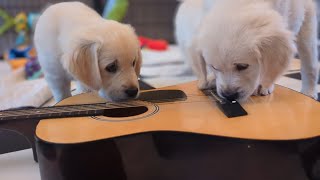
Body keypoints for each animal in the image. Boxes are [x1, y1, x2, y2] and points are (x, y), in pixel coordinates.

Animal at [176, 0, 318, 101]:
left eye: (242, 66)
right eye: (214, 67)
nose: (229, 96)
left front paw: (265, 85)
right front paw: (208, 79)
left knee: (309, 61)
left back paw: (309, 93)